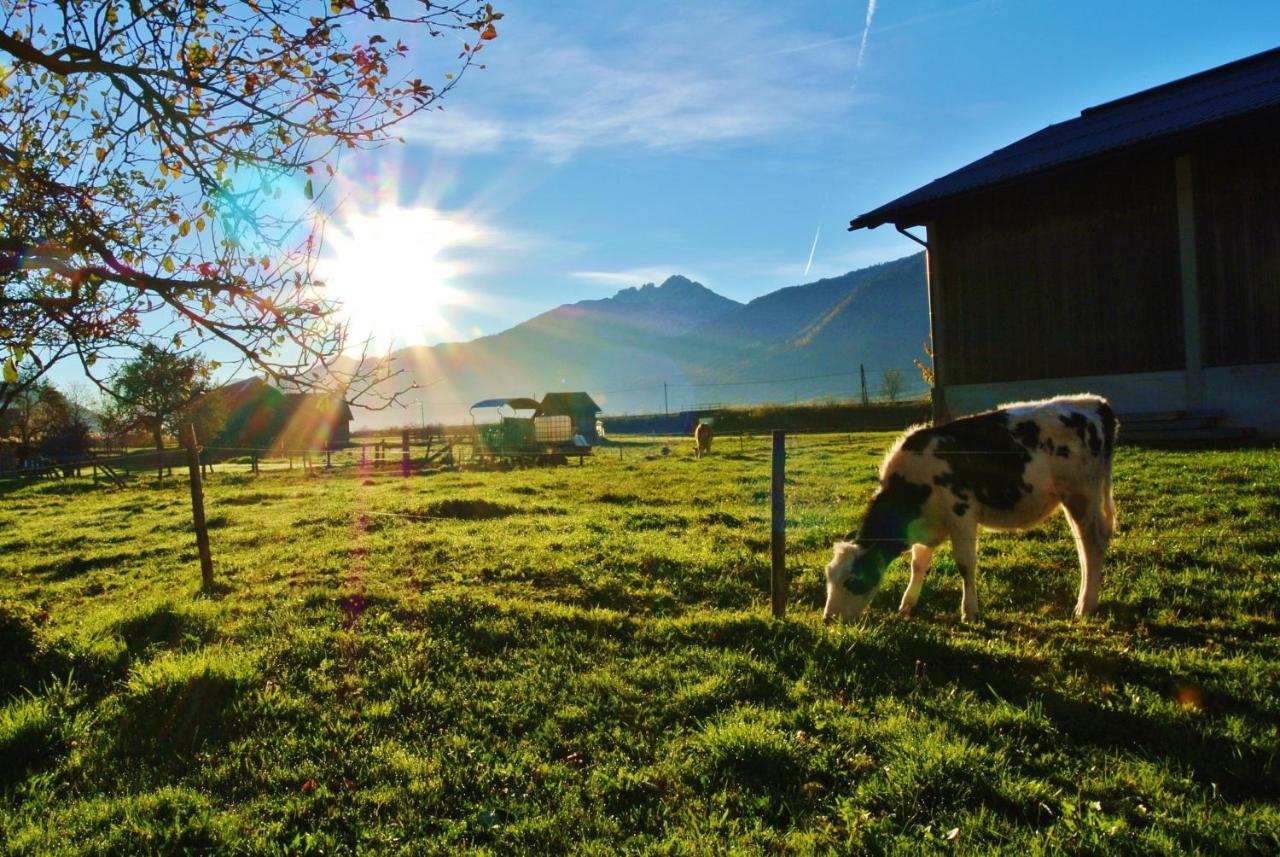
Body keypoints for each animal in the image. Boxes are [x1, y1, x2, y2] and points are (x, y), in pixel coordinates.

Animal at [824, 396, 1116, 624]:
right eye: (829, 577)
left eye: (852, 579)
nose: (828, 619)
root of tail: (1093, 402)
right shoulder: (925, 525)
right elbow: (918, 564)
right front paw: (907, 605)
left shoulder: (961, 515)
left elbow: (965, 565)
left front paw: (969, 612)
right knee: (1084, 546)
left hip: (1082, 494)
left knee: (1093, 542)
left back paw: (1085, 605)